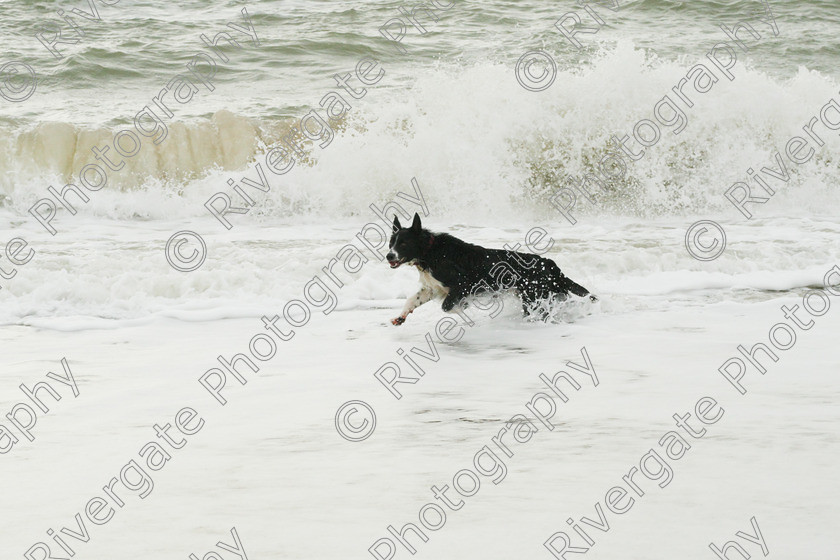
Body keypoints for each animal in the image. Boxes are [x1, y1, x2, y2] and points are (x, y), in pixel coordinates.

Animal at [388, 214, 592, 328]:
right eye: (391, 243)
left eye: (403, 243)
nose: (389, 256)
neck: (429, 252)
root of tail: (550, 264)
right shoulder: (432, 288)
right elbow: (412, 300)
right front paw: (400, 317)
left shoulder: (463, 285)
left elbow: (447, 306)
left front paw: (464, 310)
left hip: (534, 298)